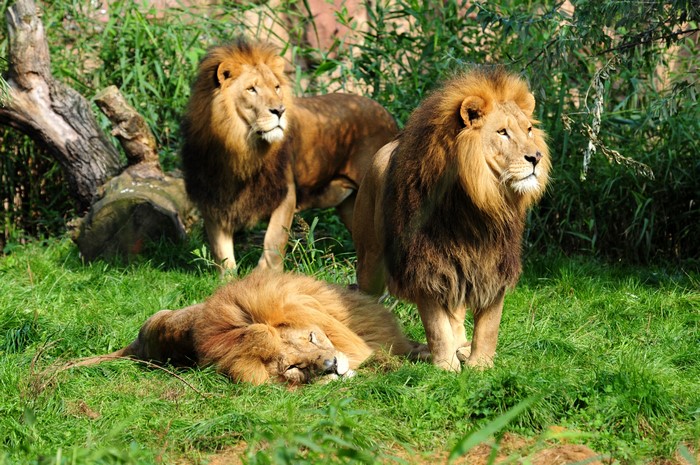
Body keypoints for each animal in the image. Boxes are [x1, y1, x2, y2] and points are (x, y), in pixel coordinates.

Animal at [180, 38, 398, 271]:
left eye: (276, 87)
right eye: (251, 89)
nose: (279, 110)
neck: (240, 147)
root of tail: (386, 114)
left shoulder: (285, 192)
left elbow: (274, 240)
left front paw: (266, 275)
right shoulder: (212, 197)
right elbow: (221, 251)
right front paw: (229, 278)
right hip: (351, 205)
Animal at [352, 67, 551, 371]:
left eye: (528, 129)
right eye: (502, 132)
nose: (536, 157)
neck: (478, 206)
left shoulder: (492, 266)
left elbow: (489, 326)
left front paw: (480, 366)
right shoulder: (425, 266)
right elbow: (436, 326)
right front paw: (445, 368)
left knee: (456, 314)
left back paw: (462, 347)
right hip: (370, 259)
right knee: (367, 296)